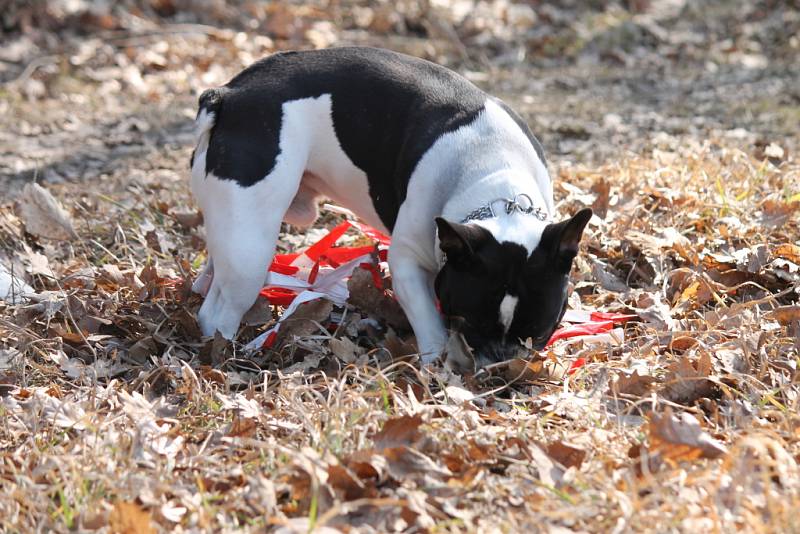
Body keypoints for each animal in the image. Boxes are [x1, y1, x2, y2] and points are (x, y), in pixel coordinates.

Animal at [191, 46, 592, 366]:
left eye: (539, 332)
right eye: (469, 322)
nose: (502, 363)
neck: (493, 178)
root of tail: (230, 95)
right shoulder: (408, 262)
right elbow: (430, 323)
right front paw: (436, 365)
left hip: (234, 227)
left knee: (213, 272)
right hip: (250, 245)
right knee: (219, 309)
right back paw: (228, 354)